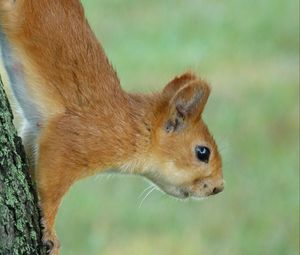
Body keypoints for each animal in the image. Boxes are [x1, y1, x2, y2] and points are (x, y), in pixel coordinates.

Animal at [1, 0, 224, 255]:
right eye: (202, 152)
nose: (219, 188)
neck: (135, 129)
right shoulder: (73, 139)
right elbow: (50, 189)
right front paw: (50, 232)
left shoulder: (34, 131)